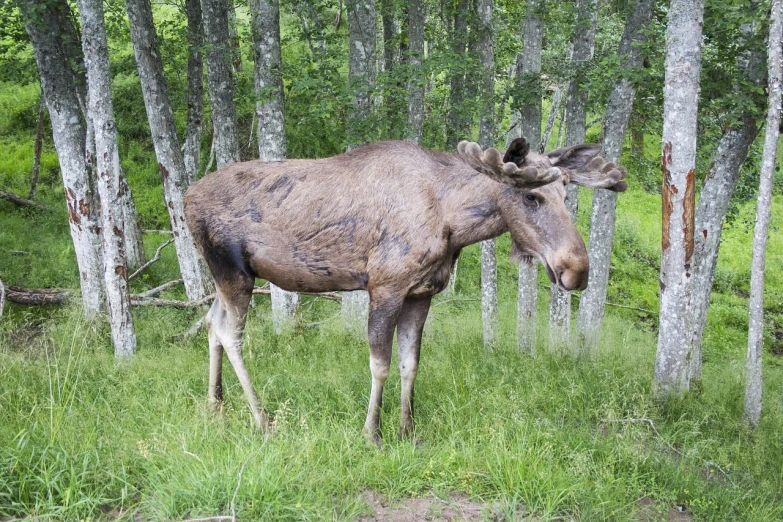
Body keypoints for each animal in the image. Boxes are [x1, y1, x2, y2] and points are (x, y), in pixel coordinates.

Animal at [182, 138, 624, 442]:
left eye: (566, 194)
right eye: (531, 197)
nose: (577, 270)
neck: (452, 225)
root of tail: (184, 199)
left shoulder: (421, 293)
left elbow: (410, 363)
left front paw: (407, 430)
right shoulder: (385, 286)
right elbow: (380, 364)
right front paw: (371, 433)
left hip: (227, 280)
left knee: (211, 322)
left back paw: (215, 404)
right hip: (233, 272)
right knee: (230, 333)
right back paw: (261, 418)